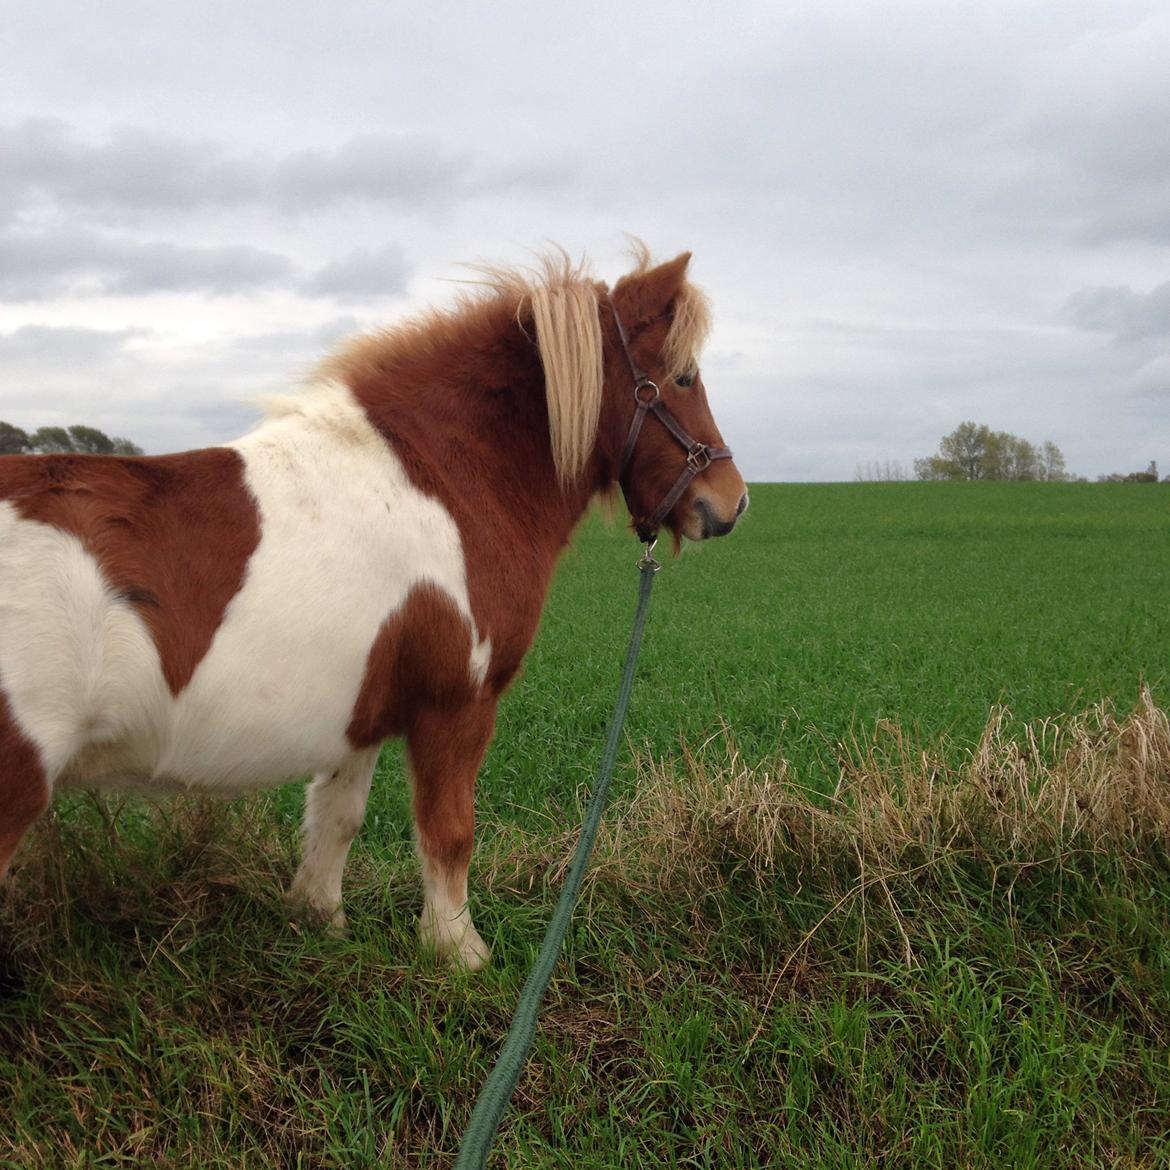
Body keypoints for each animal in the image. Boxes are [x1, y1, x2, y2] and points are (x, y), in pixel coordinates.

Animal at [0, 246, 744, 968]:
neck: (437, 478)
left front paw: (319, 922)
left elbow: (337, 819)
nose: (732, 501)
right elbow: (449, 831)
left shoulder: (361, 715)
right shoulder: (457, 704)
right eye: (682, 377)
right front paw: (458, 952)